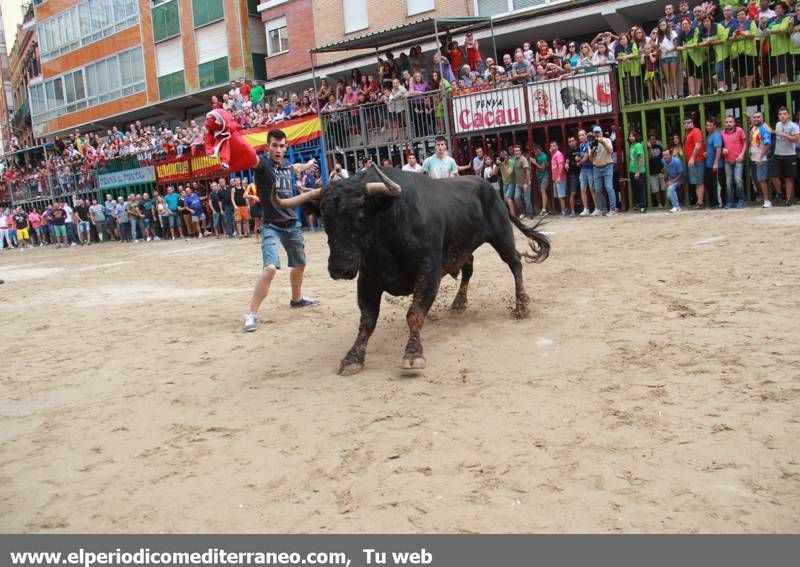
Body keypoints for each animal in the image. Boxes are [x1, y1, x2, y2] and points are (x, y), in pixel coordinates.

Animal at [276, 166, 552, 374]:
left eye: (360, 216)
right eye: (325, 219)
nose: (340, 268)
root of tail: (489, 188)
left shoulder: (428, 271)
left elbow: (414, 314)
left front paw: (413, 354)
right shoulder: (367, 278)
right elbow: (367, 320)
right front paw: (353, 358)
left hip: (501, 235)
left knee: (515, 263)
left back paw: (521, 305)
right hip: (462, 247)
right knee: (469, 268)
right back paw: (458, 303)